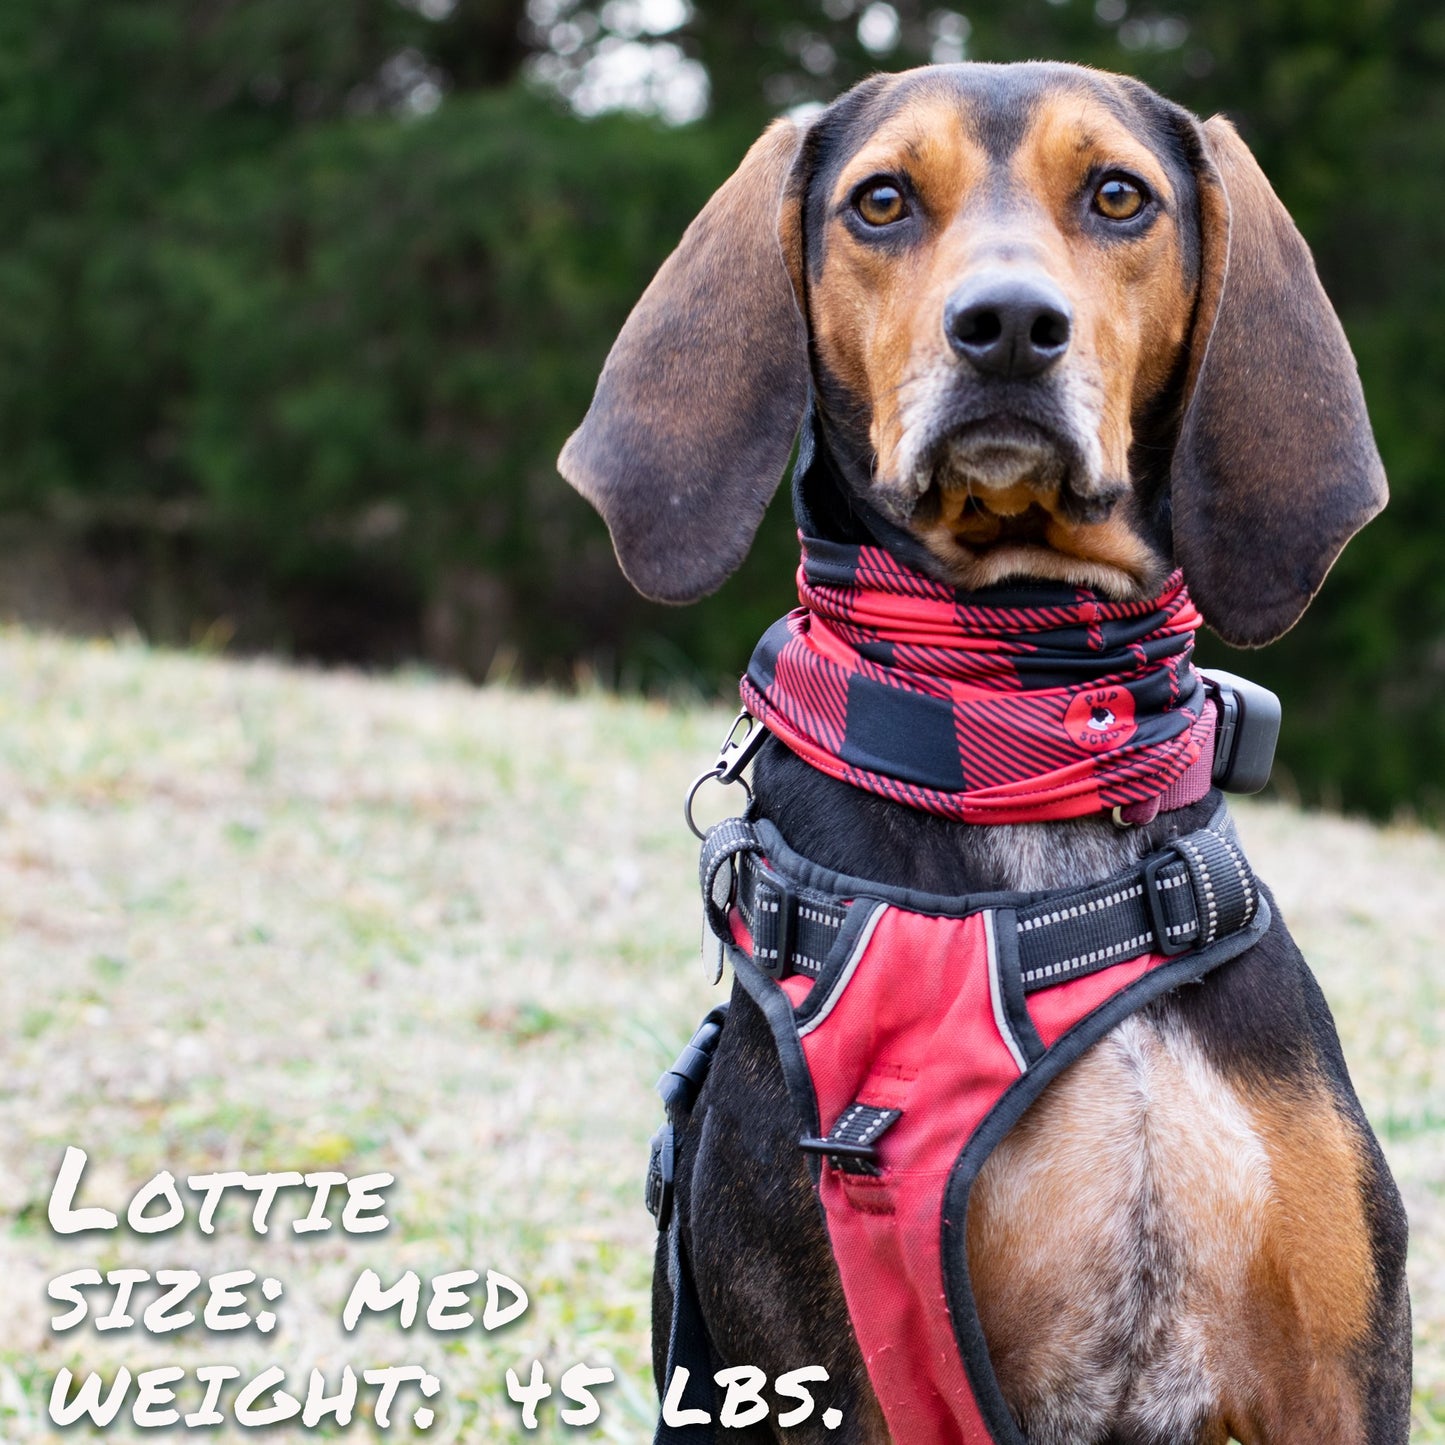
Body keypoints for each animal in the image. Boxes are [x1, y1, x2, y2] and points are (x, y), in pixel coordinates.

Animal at [554, 62, 1410, 1445]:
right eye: (880, 200)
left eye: (1116, 194)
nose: (1007, 324)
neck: (1027, 729)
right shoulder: (855, 1368)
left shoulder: (1336, 1380)